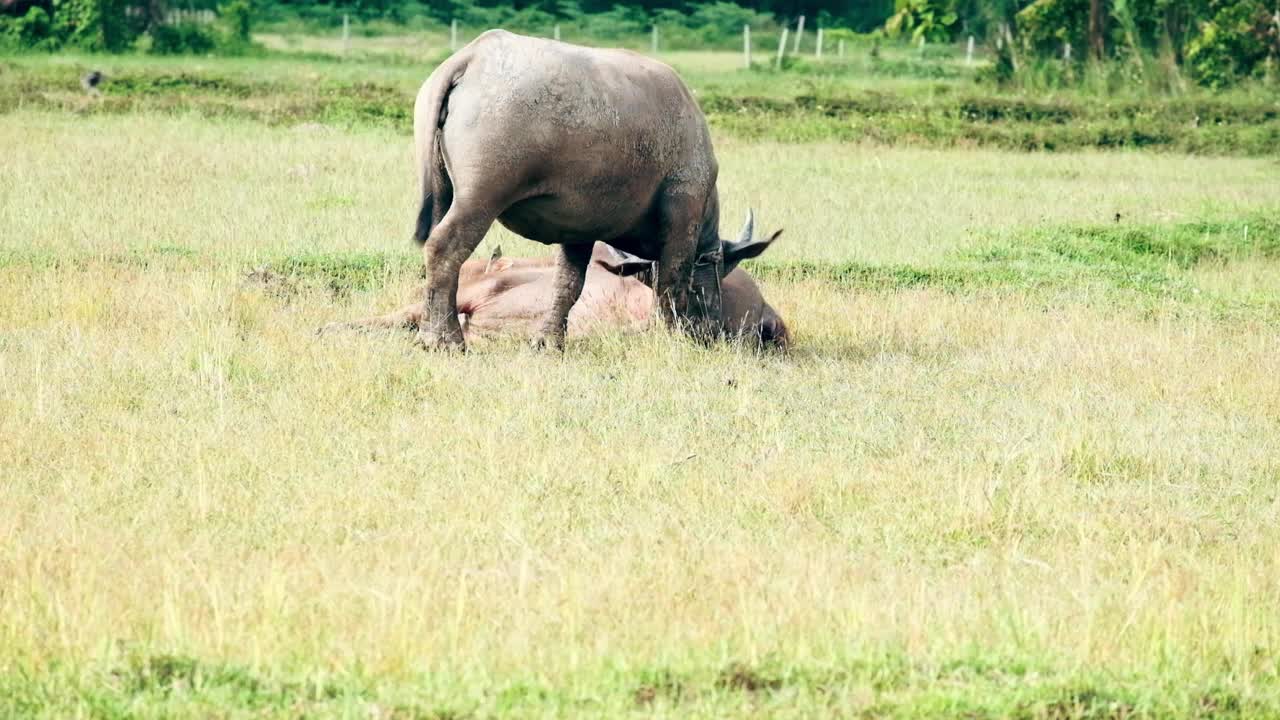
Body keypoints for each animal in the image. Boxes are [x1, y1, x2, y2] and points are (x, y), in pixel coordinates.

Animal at [409, 30, 773, 351]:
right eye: (719, 276)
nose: (711, 330)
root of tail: (473, 57)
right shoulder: (683, 213)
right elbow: (673, 282)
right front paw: (674, 337)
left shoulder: (578, 231)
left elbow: (568, 285)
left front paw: (549, 341)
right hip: (480, 198)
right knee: (445, 248)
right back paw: (444, 338)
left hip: (442, 191)